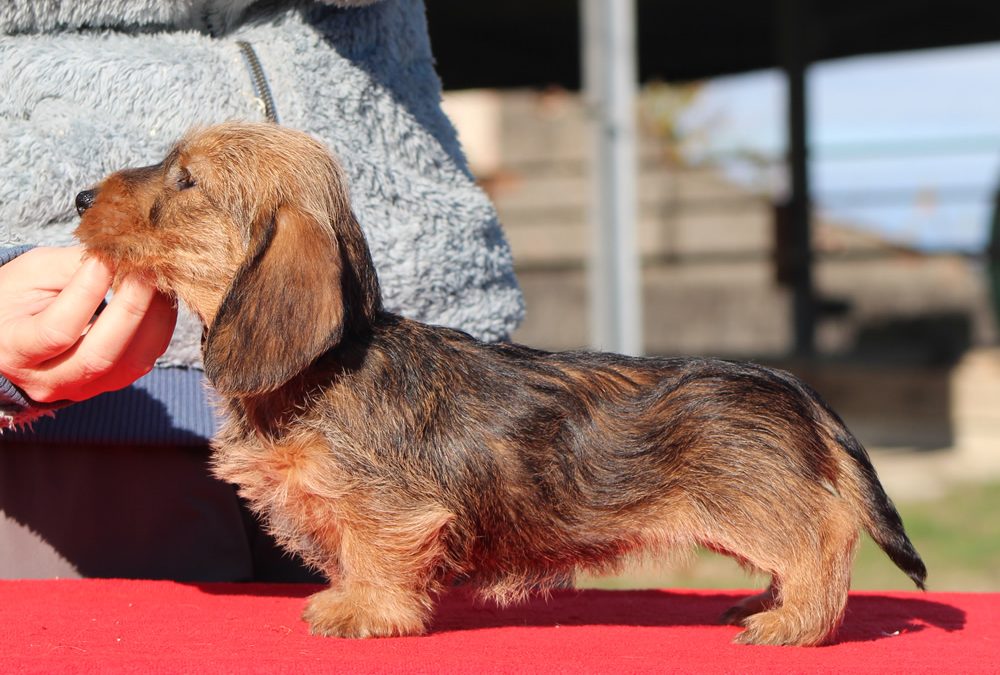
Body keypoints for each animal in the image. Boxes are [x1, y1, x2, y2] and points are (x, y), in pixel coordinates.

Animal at [74, 124, 924, 648]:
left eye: (186, 179)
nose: (80, 198)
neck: (323, 368)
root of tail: (789, 385)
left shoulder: (390, 509)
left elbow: (376, 554)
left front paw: (362, 609)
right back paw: (770, 603)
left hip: (750, 502)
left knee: (826, 532)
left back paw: (795, 621)